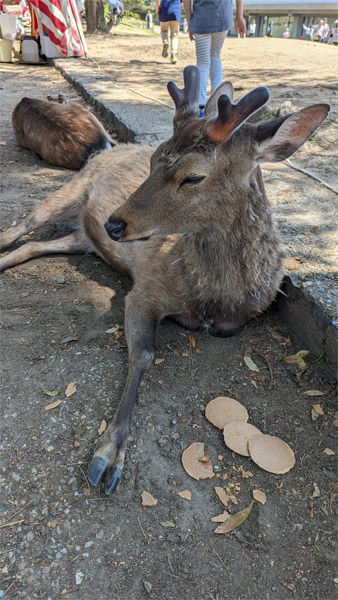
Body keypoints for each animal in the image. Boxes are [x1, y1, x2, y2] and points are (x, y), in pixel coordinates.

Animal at [0, 65, 328, 496]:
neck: (216, 295)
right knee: (17, 229)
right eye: (155, 158)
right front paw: (107, 458)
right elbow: (143, 354)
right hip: (65, 192)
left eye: (194, 177)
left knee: (33, 247)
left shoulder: (244, 315)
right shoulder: (145, 287)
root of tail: (105, 149)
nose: (114, 224)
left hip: (80, 240)